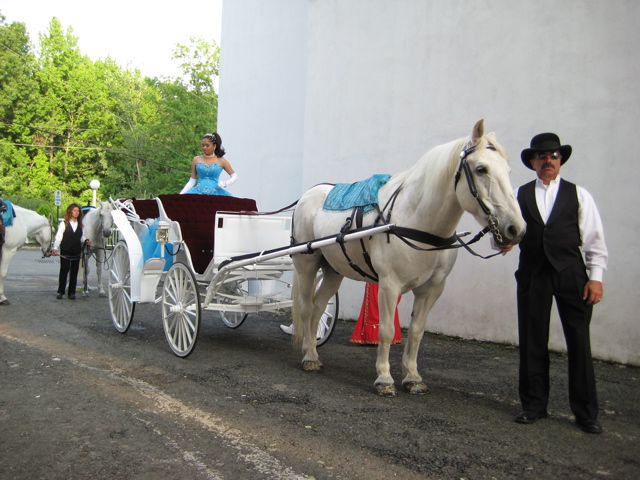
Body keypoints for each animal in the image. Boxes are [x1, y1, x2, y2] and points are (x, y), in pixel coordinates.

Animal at [290, 121, 524, 398]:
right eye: (481, 169)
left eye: (508, 170)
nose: (515, 229)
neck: (416, 219)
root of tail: (309, 193)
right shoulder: (389, 285)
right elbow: (387, 331)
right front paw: (384, 378)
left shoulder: (431, 289)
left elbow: (416, 331)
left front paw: (412, 377)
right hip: (307, 265)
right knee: (306, 309)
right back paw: (308, 357)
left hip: (334, 270)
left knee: (317, 308)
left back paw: (313, 353)